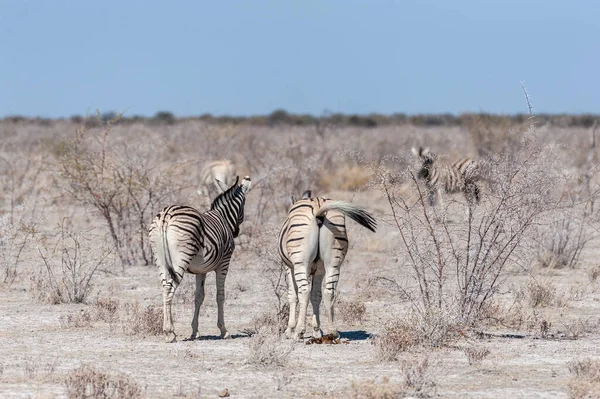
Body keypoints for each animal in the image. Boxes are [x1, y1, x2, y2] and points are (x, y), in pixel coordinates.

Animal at [151, 176, 254, 344]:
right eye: (244, 205)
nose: (236, 232)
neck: (223, 217)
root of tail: (166, 214)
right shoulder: (224, 263)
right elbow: (220, 296)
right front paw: (224, 331)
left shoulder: (201, 270)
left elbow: (199, 297)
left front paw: (194, 332)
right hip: (180, 259)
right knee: (170, 289)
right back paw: (169, 332)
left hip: (160, 260)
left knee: (164, 288)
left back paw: (168, 331)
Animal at [276, 191, 376, 340]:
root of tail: (318, 207)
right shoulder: (320, 270)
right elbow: (316, 295)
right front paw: (317, 330)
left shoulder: (289, 267)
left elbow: (292, 296)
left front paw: (289, 329)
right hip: (333, 262)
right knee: (329, 292)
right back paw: (333, 332)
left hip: (301, 263)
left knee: (304, 291)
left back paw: (299, 332)